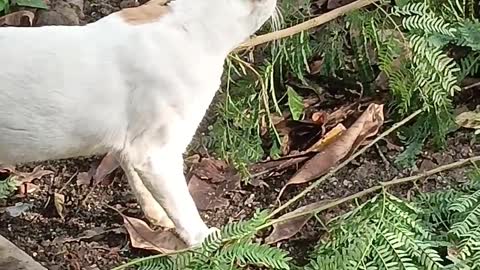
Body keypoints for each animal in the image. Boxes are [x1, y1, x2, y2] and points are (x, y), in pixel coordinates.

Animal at [0, 0, 276, 246]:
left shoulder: (133, 146)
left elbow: (142, 186)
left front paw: (159, 218)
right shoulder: (155, 152)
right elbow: (182, 205)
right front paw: (206, 239)